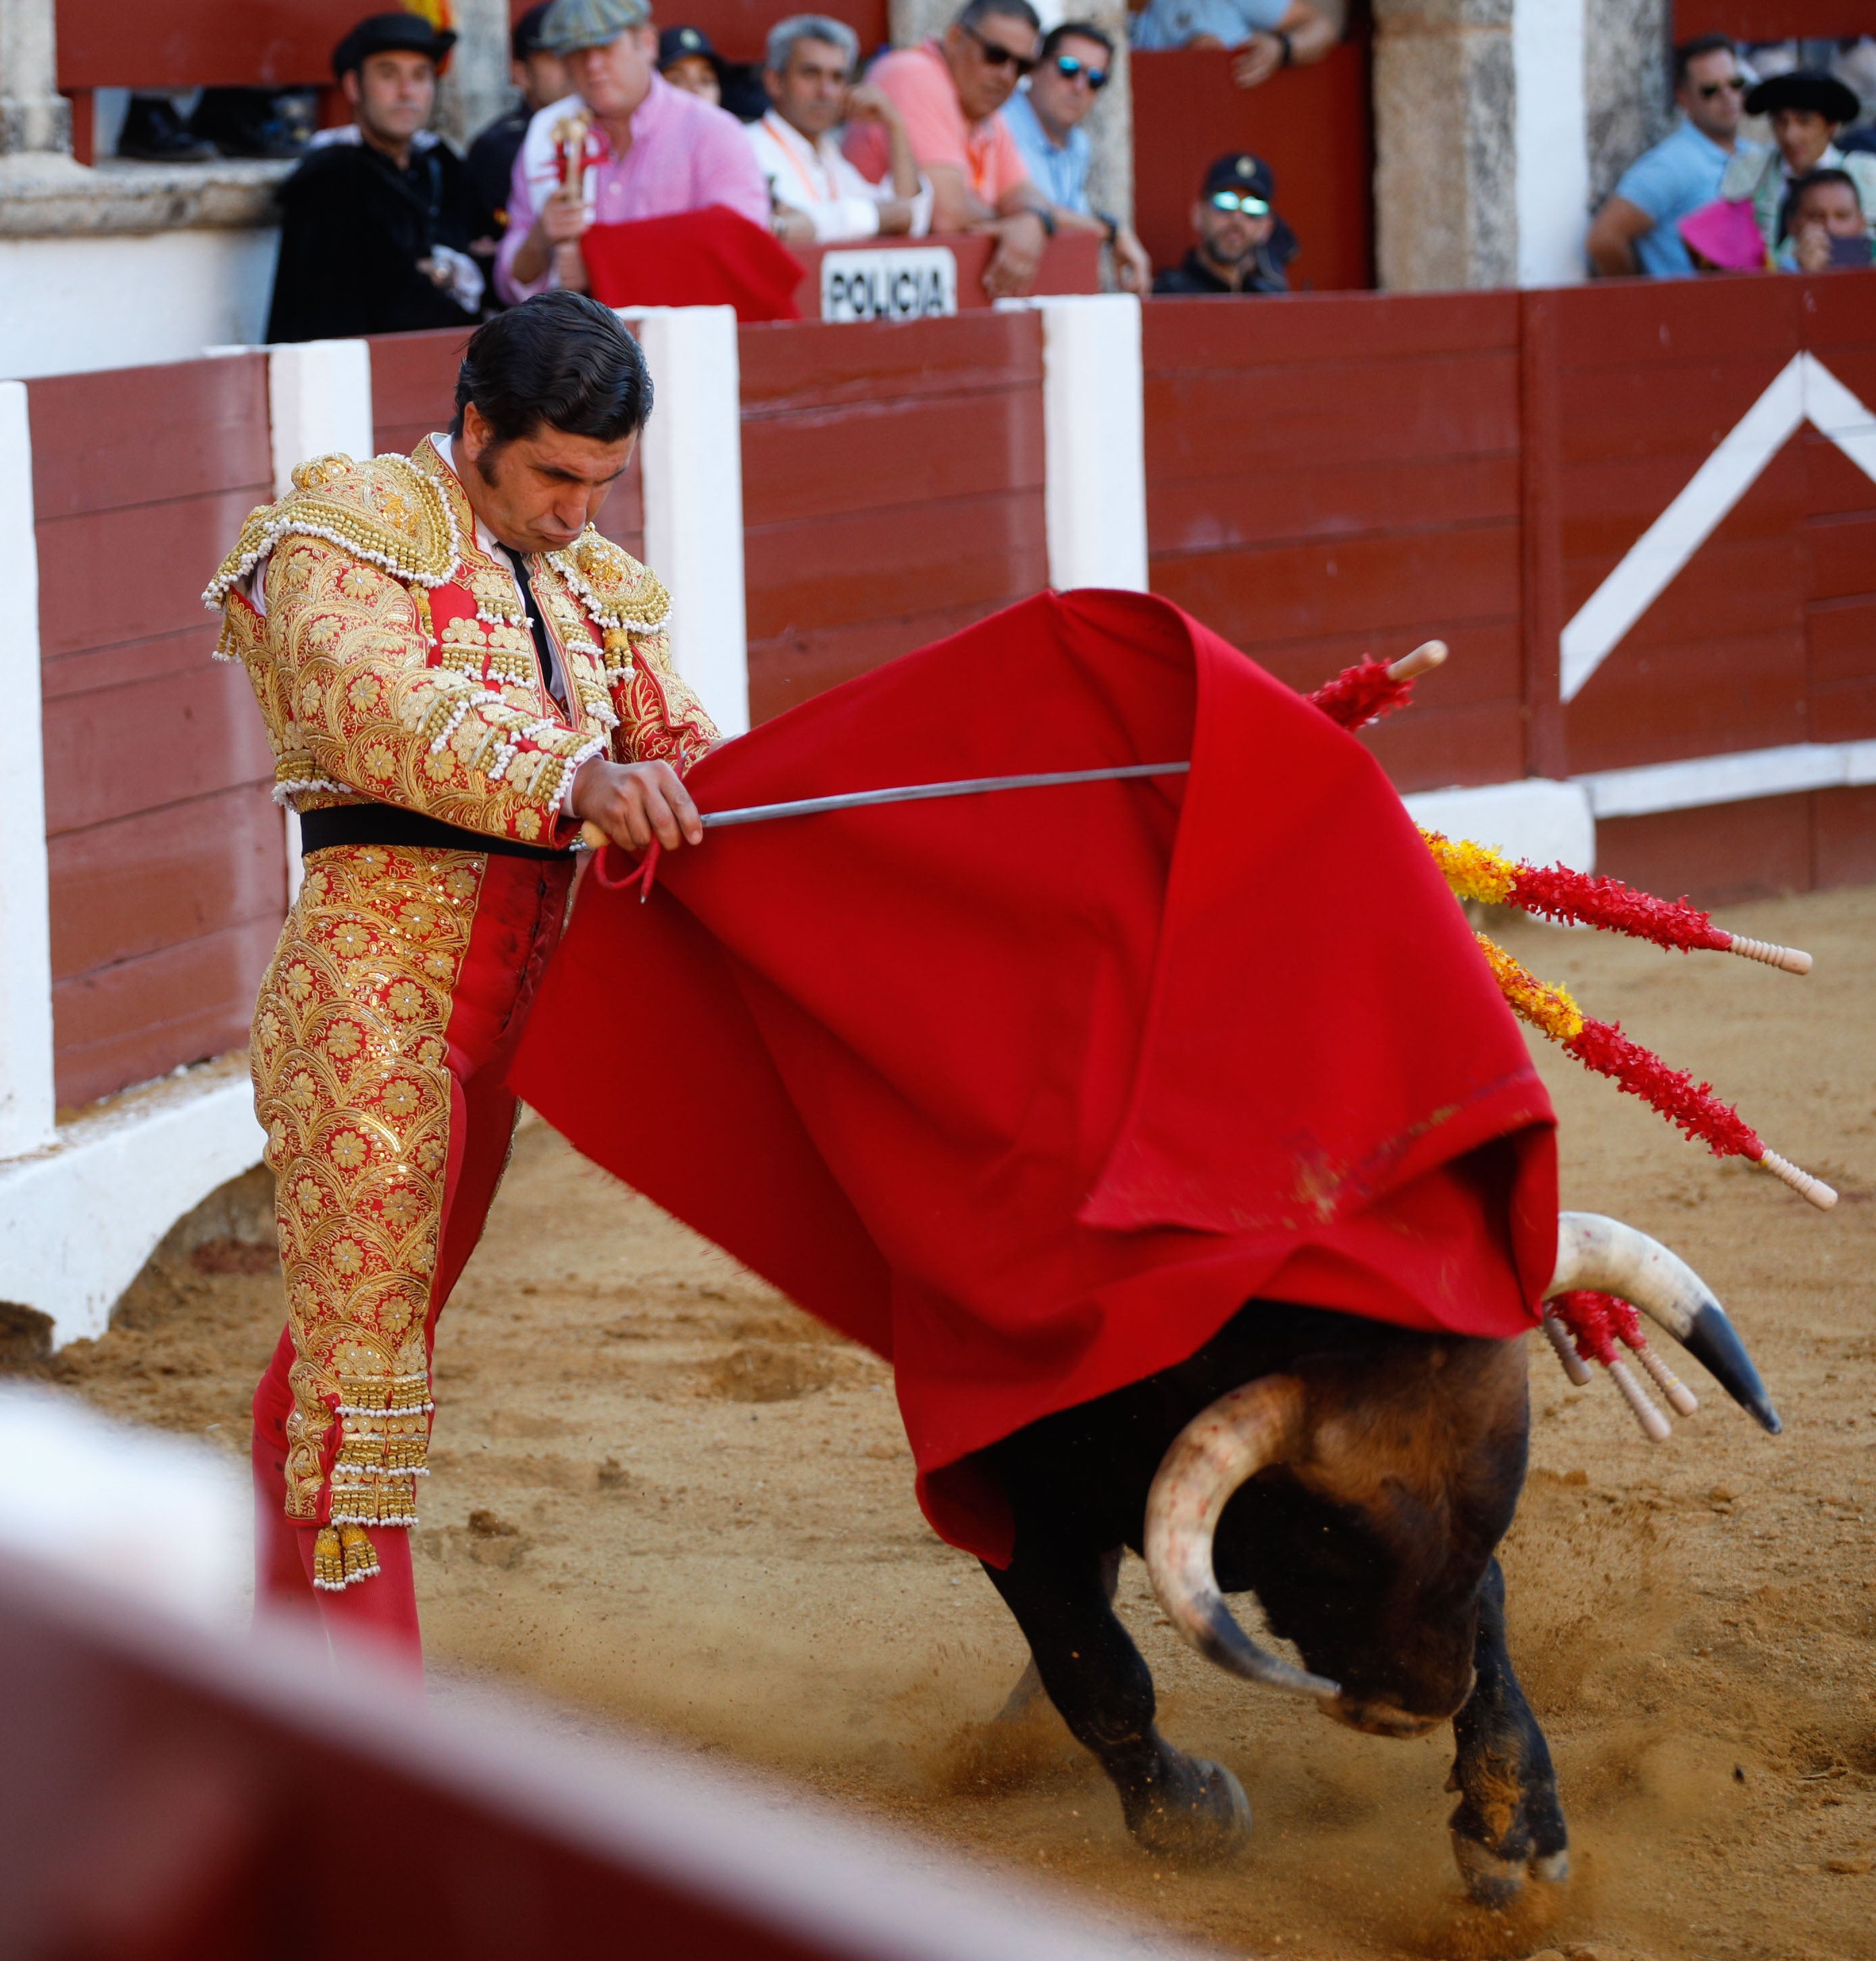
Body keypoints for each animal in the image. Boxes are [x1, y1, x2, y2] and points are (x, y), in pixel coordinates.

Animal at [972, 1208, 1779, 1898]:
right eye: (1325, 1553)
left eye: (1494, 1522)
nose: (1415, 1711)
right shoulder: (1001, 1491)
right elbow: (1095, 1666)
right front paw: (1187, 1813)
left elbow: (1485, 1612)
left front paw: (1510, 1820)